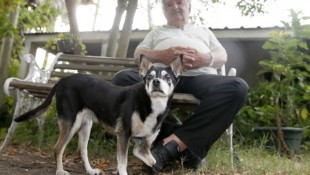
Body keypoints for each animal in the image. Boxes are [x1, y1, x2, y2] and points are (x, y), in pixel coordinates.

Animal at [14, 54, 183, 175]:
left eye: (167, 77)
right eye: (149, 77)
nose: (155, 82)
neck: (151, 103)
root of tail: (62, 81)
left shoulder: (143, 142)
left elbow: (151, 160)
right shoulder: (123, 134)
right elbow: (123, 162)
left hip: (85, 125)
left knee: (82, 150)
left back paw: (89, 170)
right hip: (71, 123)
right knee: (58, 148)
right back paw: (60, 171)